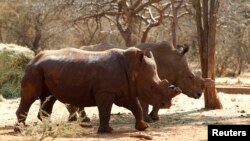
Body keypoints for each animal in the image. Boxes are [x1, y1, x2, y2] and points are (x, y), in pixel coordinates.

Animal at [14, 46, 182, 133]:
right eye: (152, 87)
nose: (167, 105)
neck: (133, 68)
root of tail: (33, 58)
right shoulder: (105, 91)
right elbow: (105, 110)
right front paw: (107, 131)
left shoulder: (125, 90)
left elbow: (136, 107)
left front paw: (143, 127)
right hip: (34, 70)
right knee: (30, 97)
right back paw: (20, 130)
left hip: (46, 69)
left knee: (48, 98)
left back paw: (49, 129)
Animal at [69, 41, 213, 123]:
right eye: (190, 77)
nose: (199, 94)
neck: (173, 61)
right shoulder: (146, 82)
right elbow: (147, 102)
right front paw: (149, 119)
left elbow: (157, 100)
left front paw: (153, 118)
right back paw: (83, 119)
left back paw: (80, 119)